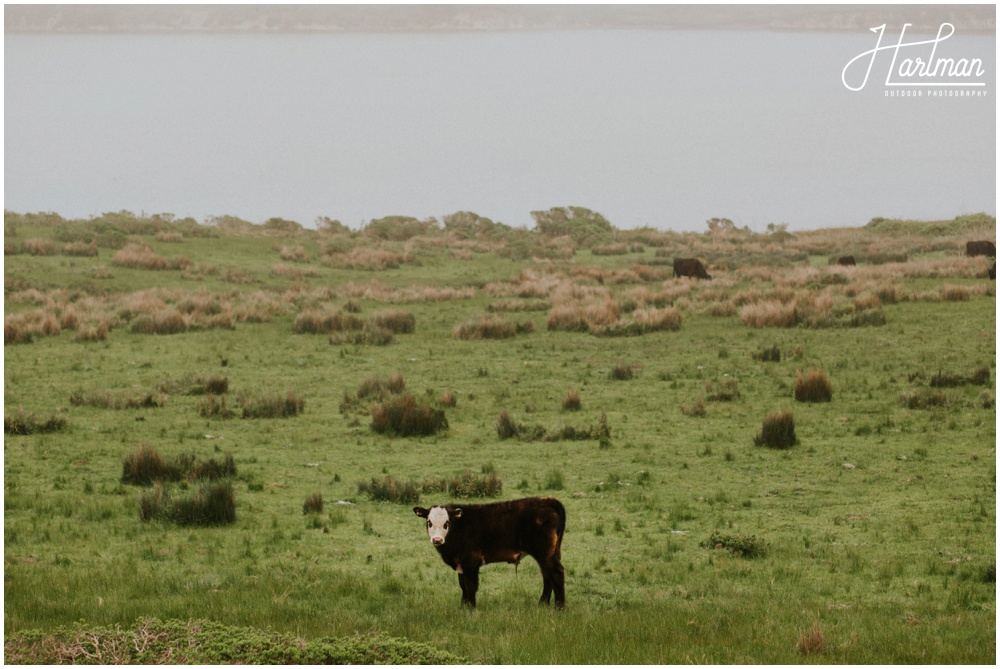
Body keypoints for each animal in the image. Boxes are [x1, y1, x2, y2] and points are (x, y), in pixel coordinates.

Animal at [414, 496, 568, 612]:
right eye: (429, 522)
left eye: (446, 523)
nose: (437, 539)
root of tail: (549, 500)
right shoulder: (461, 564)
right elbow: (463, 586)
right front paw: (463, 607)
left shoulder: (471, 562)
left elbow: (471, 586)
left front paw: (471, 609)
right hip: (547, 554)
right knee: (547, 574)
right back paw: (543, 604)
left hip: (544, 552)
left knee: (556, 572)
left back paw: (559, 607)